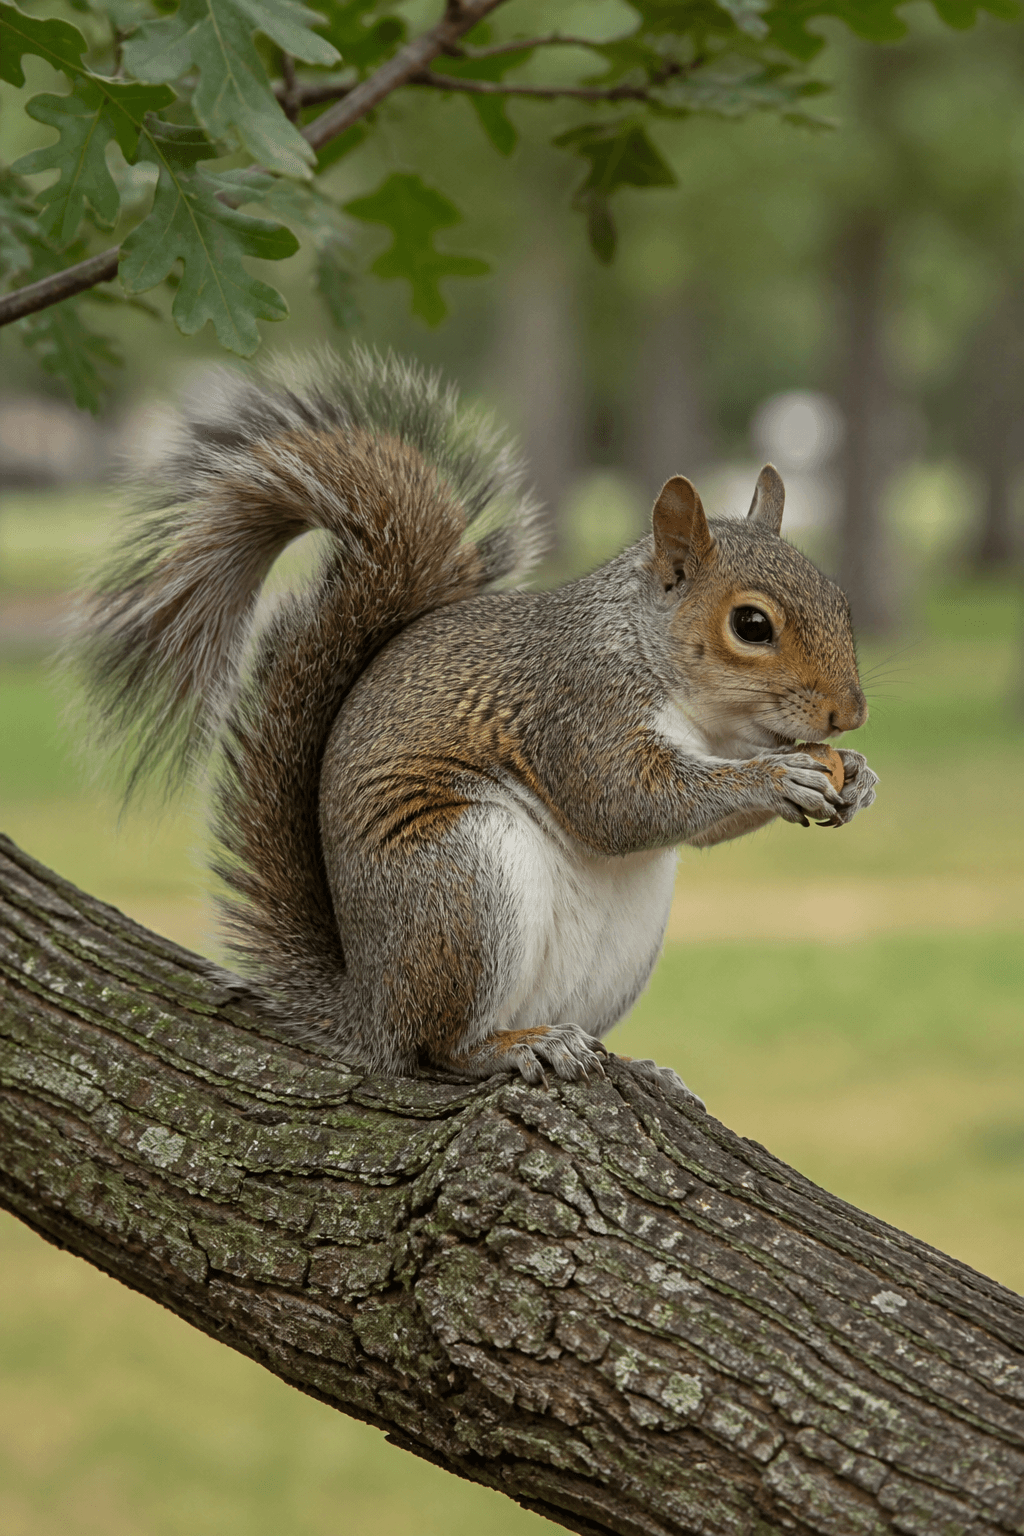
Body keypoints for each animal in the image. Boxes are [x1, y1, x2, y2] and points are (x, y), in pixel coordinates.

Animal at [79, 347, 877, 1101]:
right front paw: (780, 778)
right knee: (440, 1047)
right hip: (462, 885)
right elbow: (622, 804)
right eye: (751, 625)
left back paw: (630, 1062)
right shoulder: (577, 709)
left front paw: (858, 780)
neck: (691, 704)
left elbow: (689, 825)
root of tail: (371, 1005)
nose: (851, 713)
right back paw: (513, 1047)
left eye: (838, 598)